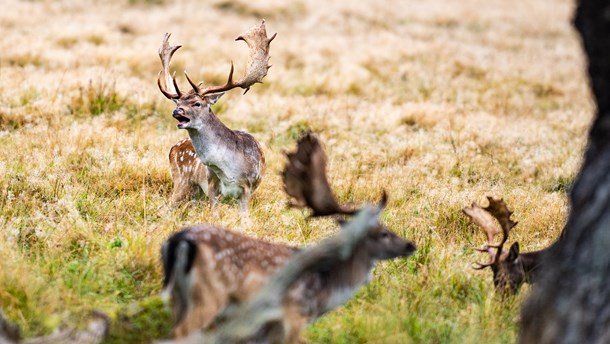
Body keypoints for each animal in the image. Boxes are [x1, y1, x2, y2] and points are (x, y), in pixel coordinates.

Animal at [156, 21, 274, 220]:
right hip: (182, 181)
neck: (227, 171)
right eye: (179, 102)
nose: (176, 111)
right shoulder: (212, 185)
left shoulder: (247, 187)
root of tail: (172, 149)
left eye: (197, 103)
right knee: (165, 209)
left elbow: (245, 219)